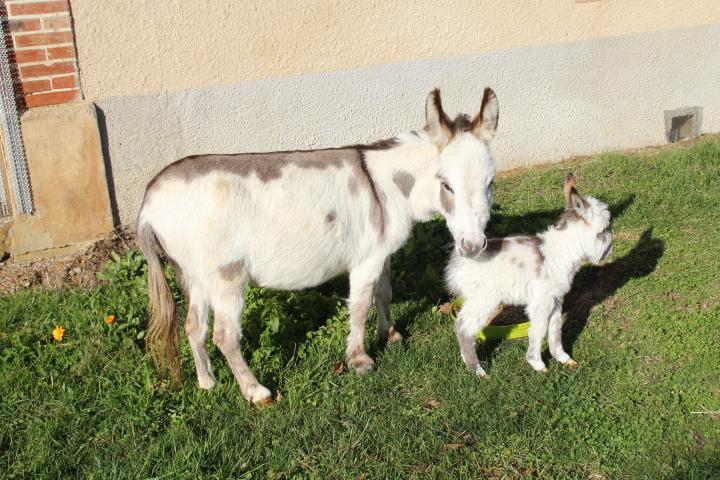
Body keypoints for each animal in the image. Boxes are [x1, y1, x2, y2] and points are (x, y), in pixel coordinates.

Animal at [448, 174, 612, 376]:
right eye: (603, 231)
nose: (610, 247)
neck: (562, 251)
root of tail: (459, 259)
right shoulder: (541, 303)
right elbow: (538, 330)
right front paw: (537, 364)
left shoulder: (556, 300)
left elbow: (555, 329)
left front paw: (563, 358)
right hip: (483, 301)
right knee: (463, 328)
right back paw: (478, 372)